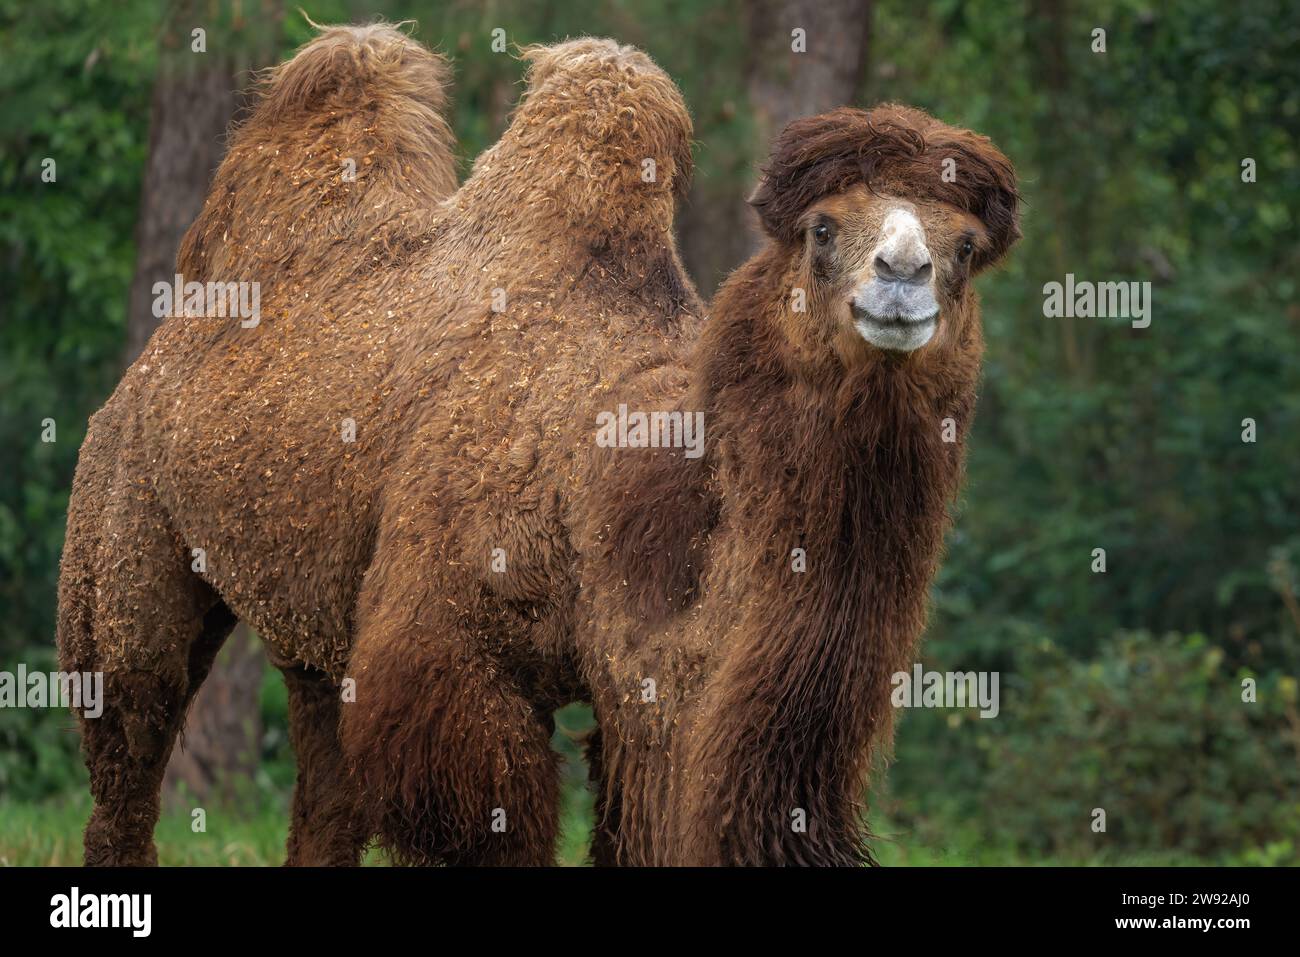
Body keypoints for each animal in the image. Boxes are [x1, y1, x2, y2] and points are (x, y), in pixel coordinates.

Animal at [58, 22, 1013, 863]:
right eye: (821, 229)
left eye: (965, 248)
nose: (902, 279)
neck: (607, 496)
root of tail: (159, 352)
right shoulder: (448, 660)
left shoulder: (639, 715)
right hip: (121, 517)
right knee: (129, 735)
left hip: (309, 628)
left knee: (320, 784)